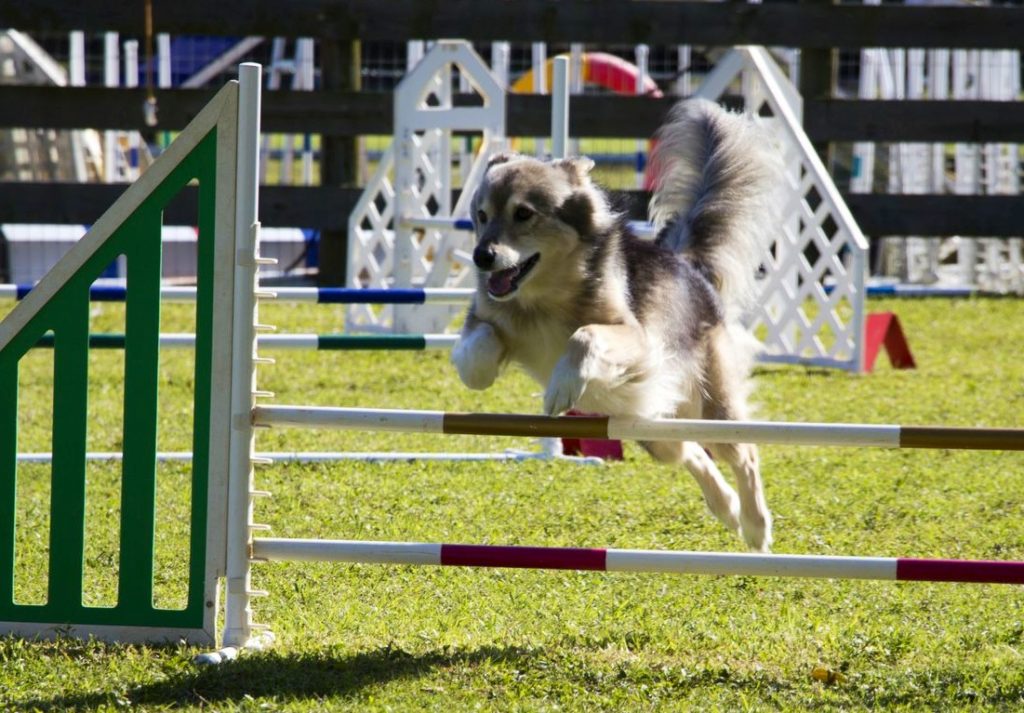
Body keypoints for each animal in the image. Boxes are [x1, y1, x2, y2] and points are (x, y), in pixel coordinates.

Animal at [452, 98, 778, 553]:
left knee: (741, 453)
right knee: (690, 451)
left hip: (712, 405)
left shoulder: (636, 339)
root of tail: (687, 266)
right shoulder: (489, 317)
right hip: (652, 427)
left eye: (523, 214)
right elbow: (476, 351)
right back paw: (726, 508)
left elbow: (584, 335)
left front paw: (562, 385)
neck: (543, 297)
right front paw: (481, 369)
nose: (482, 257)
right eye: (481, 216)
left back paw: (754, 525)